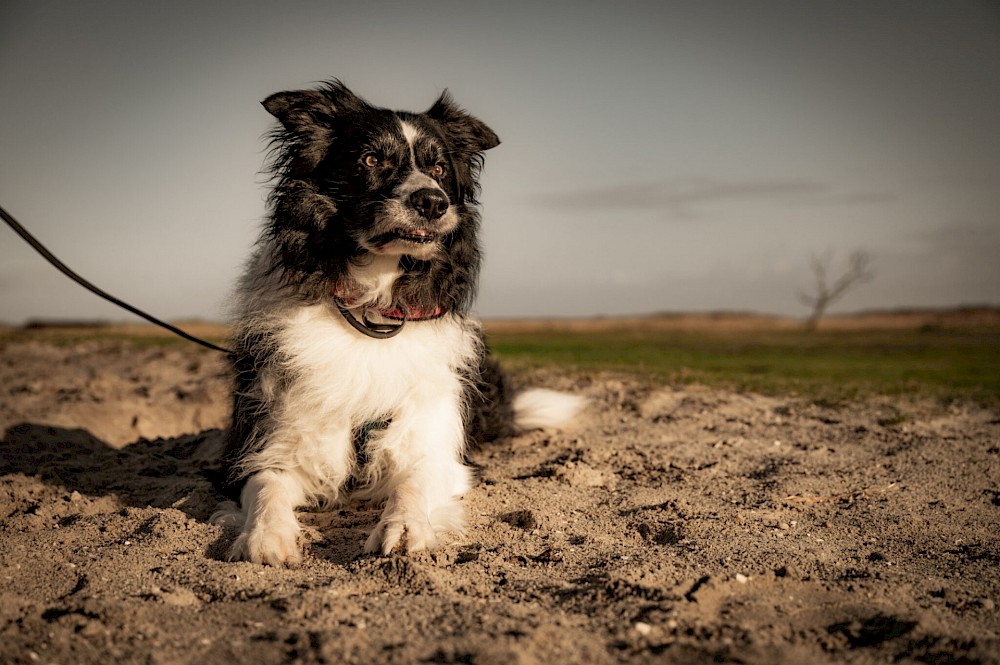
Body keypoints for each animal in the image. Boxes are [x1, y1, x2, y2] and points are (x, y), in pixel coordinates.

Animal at [213, 80, 584, 564]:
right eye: (371, 160)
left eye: (440, 168)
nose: (432, 202)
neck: (371, 311)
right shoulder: (263, 445)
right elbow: (267, 485)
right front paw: (265, 536)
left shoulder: (436, 446)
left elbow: (413, 482)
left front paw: (405, 527)